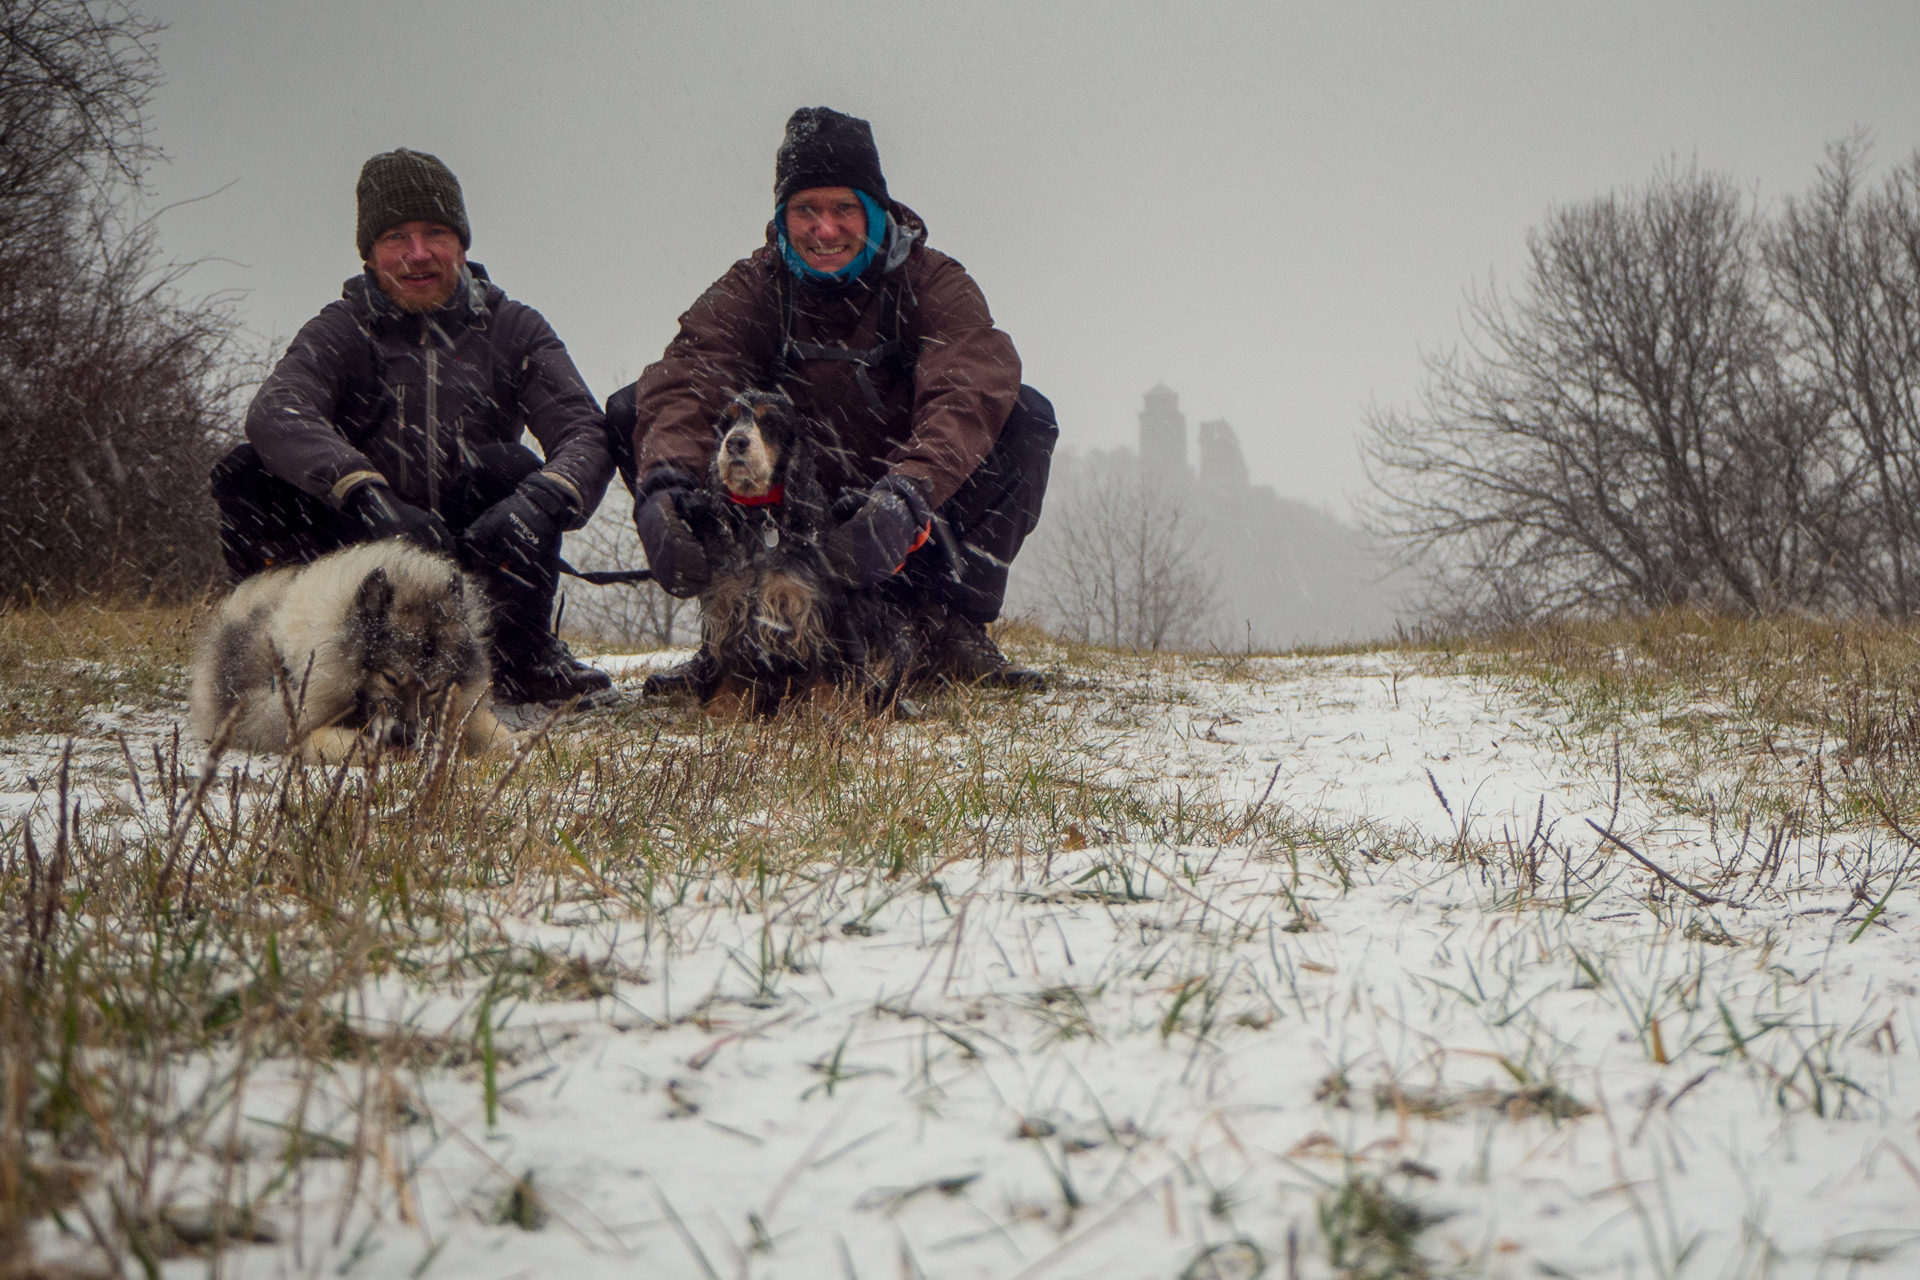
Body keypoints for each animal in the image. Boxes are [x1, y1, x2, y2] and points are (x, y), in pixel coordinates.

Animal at [188, 537, 514, 759]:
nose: (405, 737)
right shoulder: (289, 728)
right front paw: (368, 748)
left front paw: (516, 744)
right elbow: (331, 739)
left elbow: (490, 729)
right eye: (390, 677)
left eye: (434, 688)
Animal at [683, 387, 921, 721]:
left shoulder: (817, 608)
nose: (736, 442)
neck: (758, 516)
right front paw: (719, 712)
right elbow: (727, 669)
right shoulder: (727, 607)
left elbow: (827, 669)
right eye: (726, 423)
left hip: (897, 637)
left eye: (770, 422)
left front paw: (829, 712)